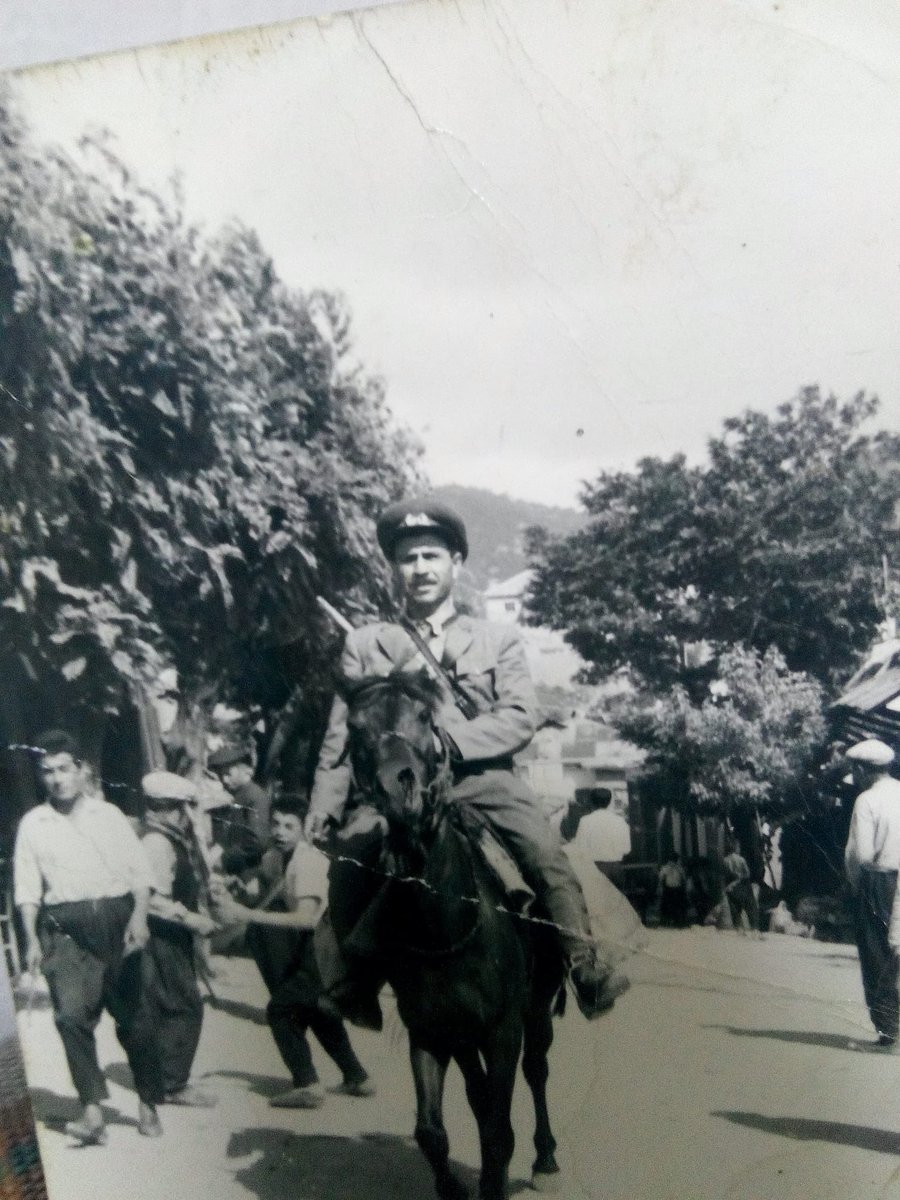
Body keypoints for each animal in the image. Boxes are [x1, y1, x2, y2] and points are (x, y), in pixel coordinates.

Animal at [324, 672, 564, 1200]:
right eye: (354, 726)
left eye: (425, 717)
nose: (399, 788)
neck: (443, 921)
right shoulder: (430, 1031)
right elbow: (432, 1131)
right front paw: (455, 1188)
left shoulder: (502, 1029)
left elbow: (498, 1133)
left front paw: (495, 1183)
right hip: (461, 1034)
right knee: (478, 1093)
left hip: (537, 1005)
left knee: (537, 1070)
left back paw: (546, 1159)